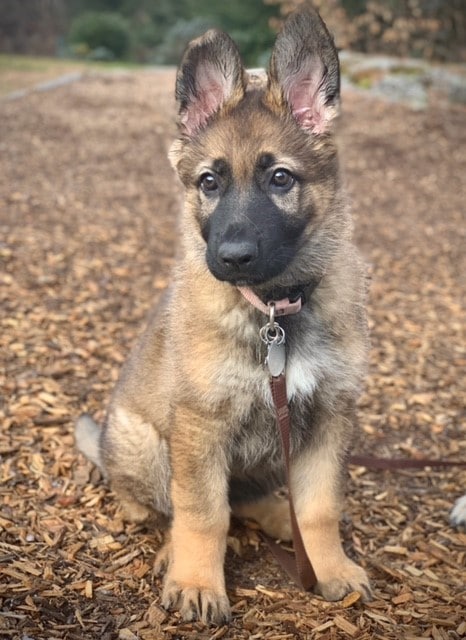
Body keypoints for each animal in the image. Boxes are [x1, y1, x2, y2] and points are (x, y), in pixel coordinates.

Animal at [78, 5, 374, 624]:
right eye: (209, 182)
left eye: (280, 178)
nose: (232, 258)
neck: (274, 312)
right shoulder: (201, 423)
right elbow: (202, 514)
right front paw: (196, 581)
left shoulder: (329, 417)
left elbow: (320, 507)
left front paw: (330, 567)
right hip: (148, 444)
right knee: (165, 508)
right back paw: (170, 549)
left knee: (254, 500)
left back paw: (280, 520)